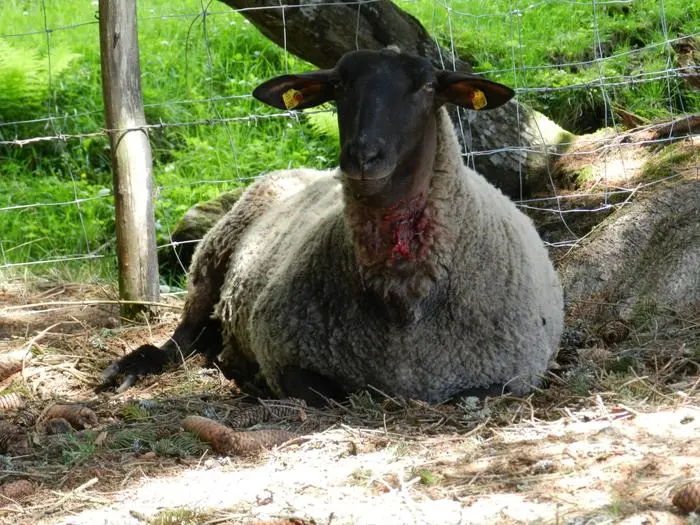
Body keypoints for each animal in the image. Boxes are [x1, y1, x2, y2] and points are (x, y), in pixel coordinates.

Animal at [100, 49, 564, 406]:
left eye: (427, 87)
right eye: (339, 85)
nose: (362, 156)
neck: (403, 305)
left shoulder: (514, 372)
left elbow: (470, 397)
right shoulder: (284, 353)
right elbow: (329, 393)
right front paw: (246, 375)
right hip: (209, 265)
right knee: (181, 340)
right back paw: (132, 367)